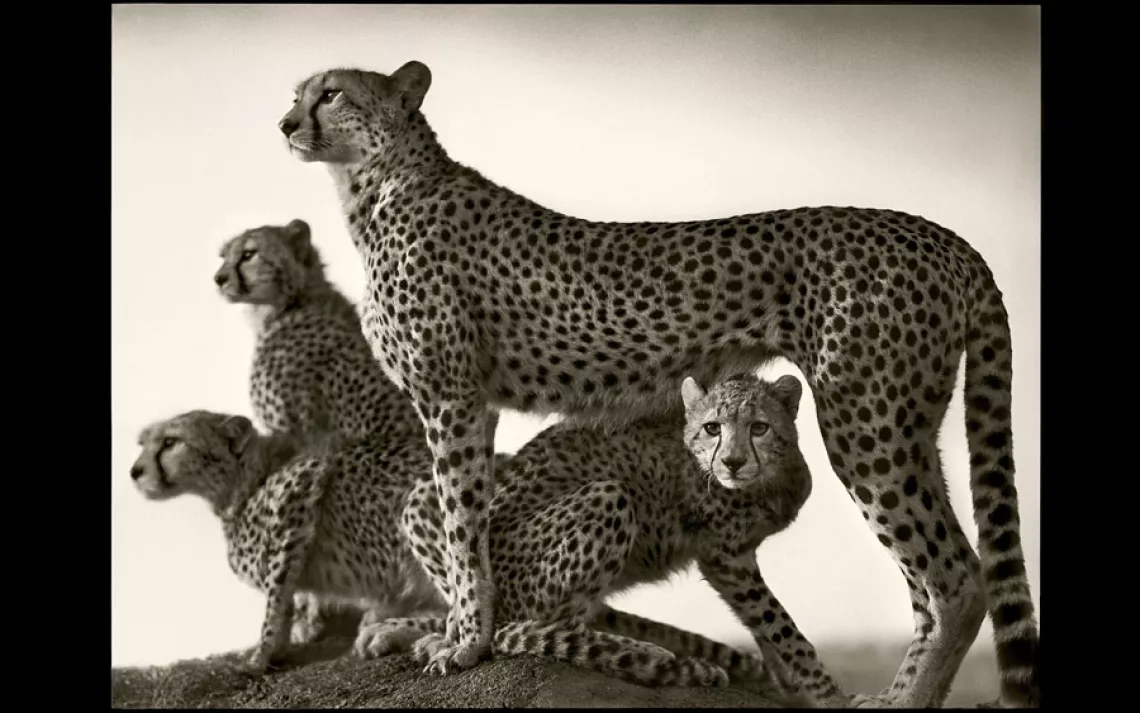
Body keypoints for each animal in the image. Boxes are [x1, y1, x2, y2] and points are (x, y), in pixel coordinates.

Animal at [128, 409, 444, 672]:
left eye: (170, 442)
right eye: (143, 444)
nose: (134, 472)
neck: (245, 480)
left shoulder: (303, 479)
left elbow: (276, 593)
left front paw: (262, 654)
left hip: (418, 503)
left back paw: (403, 634)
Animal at [355, 373, 821, 697]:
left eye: (759, 427)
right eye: (712, 428)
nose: (733, 462)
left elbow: (766, 628)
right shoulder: (726, 555)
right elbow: (779, 625)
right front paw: (823, 688)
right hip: (607, 499)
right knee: (535, 630)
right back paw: (656, 658)